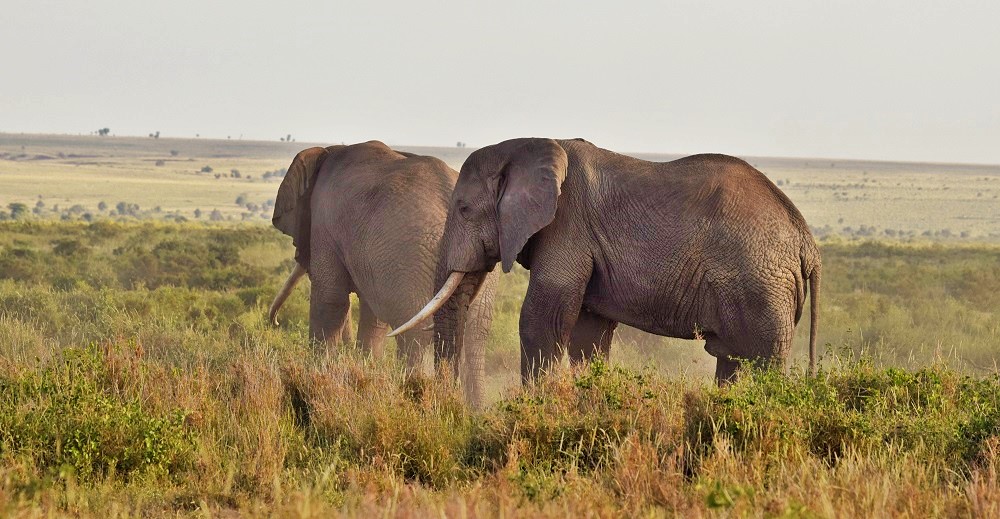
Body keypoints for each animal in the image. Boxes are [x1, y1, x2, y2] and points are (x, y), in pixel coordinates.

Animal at [268, 141, 498, 406]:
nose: (275, 322)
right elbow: (372, 318)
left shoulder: (324, 226)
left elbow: (330, 301)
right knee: (474, 339)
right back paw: (473, 410)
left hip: (411, 257)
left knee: (415, 335)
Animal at [390, 138, 820, 386]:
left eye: (463, 209)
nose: (449, 409)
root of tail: (807, 242)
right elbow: (589, 334)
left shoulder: (568, 226)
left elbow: (540, 321)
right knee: (731, 360)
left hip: (760, 284)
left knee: (764, 361)